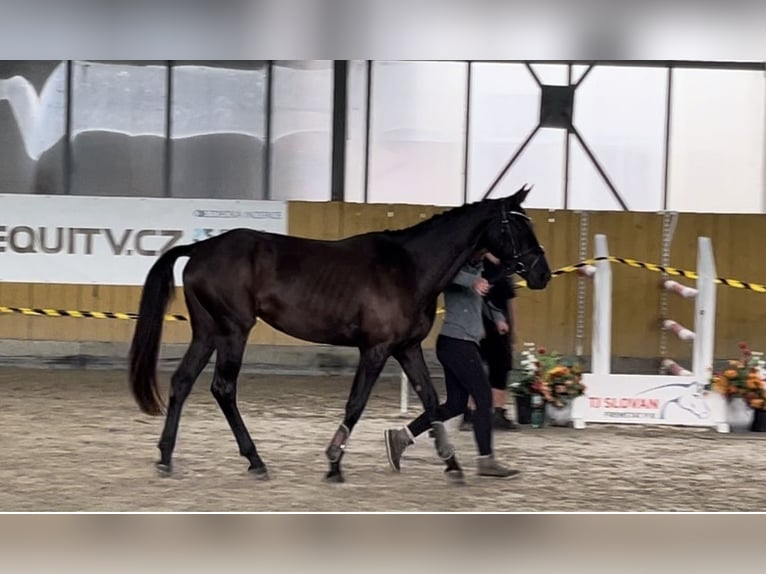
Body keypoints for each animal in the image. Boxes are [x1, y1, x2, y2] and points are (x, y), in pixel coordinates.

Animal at [130, 187, 552, 484]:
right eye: (517, 226)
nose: (542, 274)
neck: (409, 267)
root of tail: (199, 247)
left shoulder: (406, 348)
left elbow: (433, 401)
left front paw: (450, 463)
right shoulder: (376, 349)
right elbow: (356, 404)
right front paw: (334, 464)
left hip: (207, 332)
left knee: (182, 382)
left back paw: (166, 457)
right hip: (233, 330)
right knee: (223, 388)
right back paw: (255, 460)